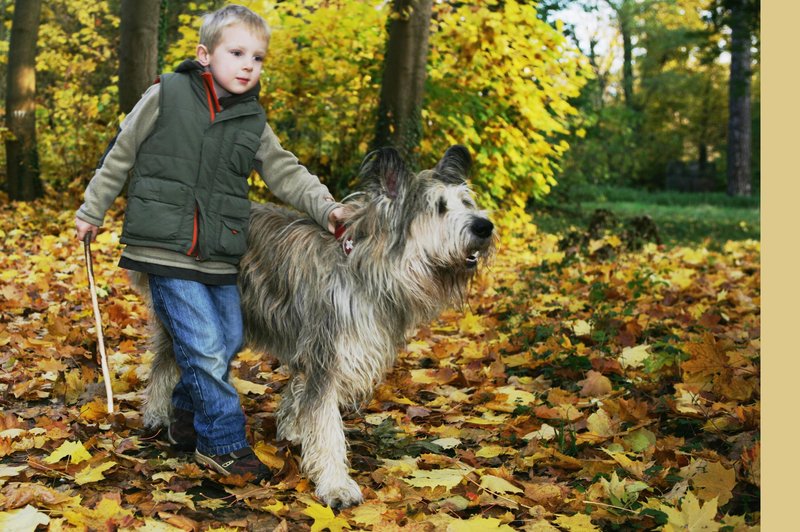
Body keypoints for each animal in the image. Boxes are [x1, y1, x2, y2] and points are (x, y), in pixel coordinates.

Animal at [142, 144, 494, 508]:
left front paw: (293, 429)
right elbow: (326, 423)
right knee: (169, 358)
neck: (366, 266)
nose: (485, 227)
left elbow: (300, 394)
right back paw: (157, 413)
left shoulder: (313, 345)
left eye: (466, 202)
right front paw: (336, 483)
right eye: (439, 207)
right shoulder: (328, 350)